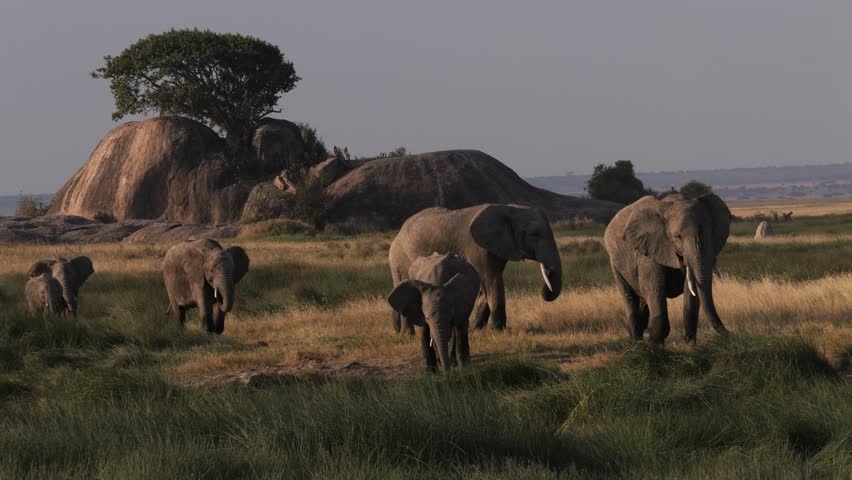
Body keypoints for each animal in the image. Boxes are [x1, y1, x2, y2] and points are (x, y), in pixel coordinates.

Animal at [389, 204, 562, 333]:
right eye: (534, 234)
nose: (549, 270)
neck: (508, 208)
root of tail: (398, 232)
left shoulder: (497, 247)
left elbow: (486, 286)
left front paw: (478, 329)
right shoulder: (478, 247)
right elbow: (492, 282)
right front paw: (500, 331)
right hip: (399, 259)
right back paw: (407, 334)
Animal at [603, 193, 732, 344]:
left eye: (709, 234)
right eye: (678, 237)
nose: (729, 334)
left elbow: (691, 289)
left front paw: (689, 344)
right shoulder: (648, 250)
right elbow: (654, 288)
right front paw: (654, 340)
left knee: (643, 299)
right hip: (614, 263)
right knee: (629, 296)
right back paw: (637, 340)